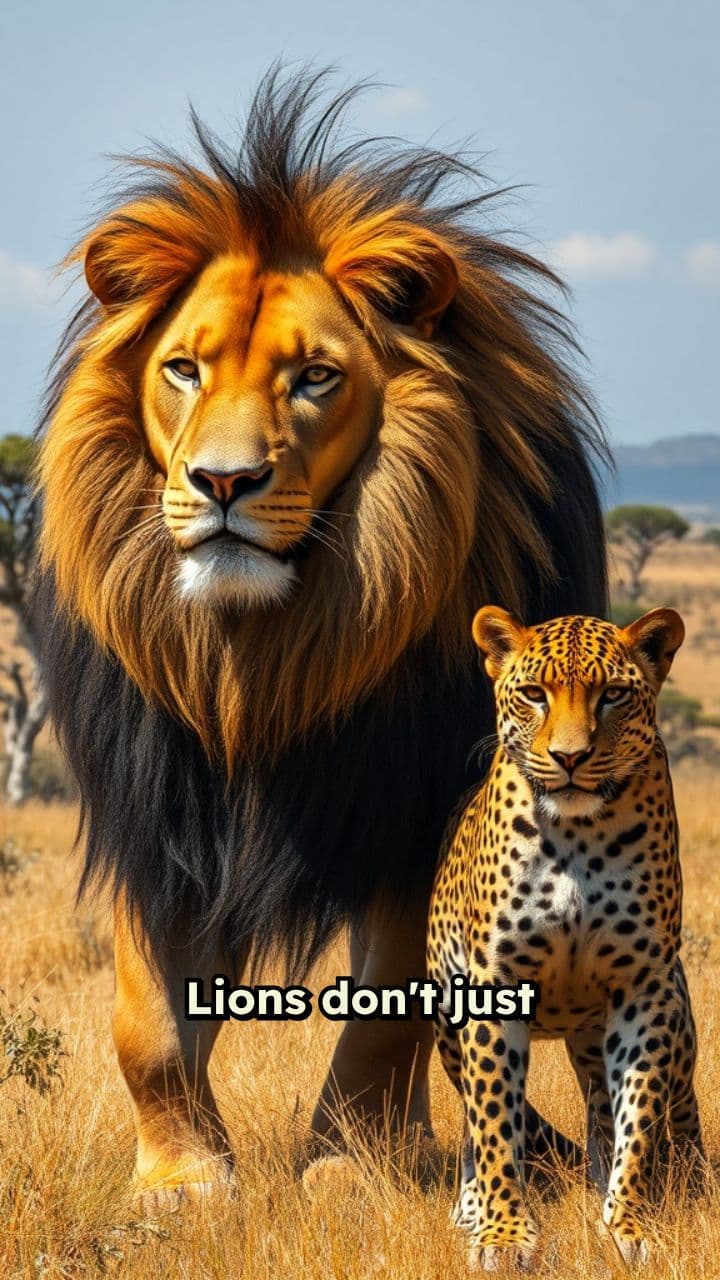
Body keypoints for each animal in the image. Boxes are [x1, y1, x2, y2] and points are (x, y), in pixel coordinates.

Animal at [33, 69, 608, 1204]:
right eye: (182, 369)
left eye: (313, 378)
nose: (222, 482)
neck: (262, 654)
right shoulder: (157, 805)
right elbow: (145, 1021)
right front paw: (182, 1179)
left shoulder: (413, 814)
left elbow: (389, 1010)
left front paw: (351, 1165)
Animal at [427, 605, 704, 1271]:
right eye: (534, 694)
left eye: (613, 696)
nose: (570, 757)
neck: (579, 834)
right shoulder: (493, 986)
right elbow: (495, 1123)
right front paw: (503, 1234)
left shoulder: (643, 989)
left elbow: (638, 1118)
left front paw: (627, 1224)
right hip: (446, 1022)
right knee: (474, 1121)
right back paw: (470, 1206)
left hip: (663, 1021)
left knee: (651, 1112)